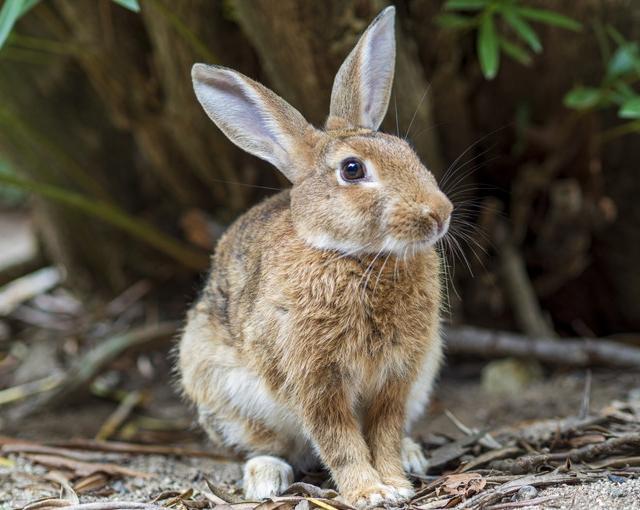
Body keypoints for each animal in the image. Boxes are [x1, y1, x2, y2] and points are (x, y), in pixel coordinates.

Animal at [178, 5, 452, 508]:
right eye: (352, 169)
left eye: (407, 151)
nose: (440, 214)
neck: (354, 256)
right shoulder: (314, 379)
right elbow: (338, 440)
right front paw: (369, 492)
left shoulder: (398, 376)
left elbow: (383, 432)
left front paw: (396, 484)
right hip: (223, 394)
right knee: (263, 446)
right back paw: (266, 478)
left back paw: (412, 455)